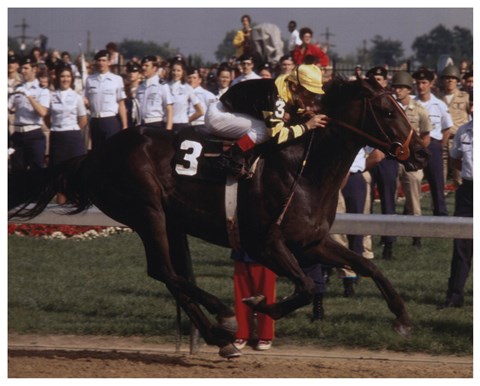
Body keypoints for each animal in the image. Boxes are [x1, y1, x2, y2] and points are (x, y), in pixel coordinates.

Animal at [8, 76, 428, 358]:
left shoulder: (312, 241)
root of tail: (92, 155)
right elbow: (307, 287)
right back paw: (224, 317)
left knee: (170, 275)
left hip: (169, 220)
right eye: (387, 110)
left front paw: (403, 319)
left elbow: (367, 267)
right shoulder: (266, 244)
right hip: (147, 211)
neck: (303, 168)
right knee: (164, 270)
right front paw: (258, 304)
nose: (421, 153)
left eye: (401, 106)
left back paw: (220, 337)